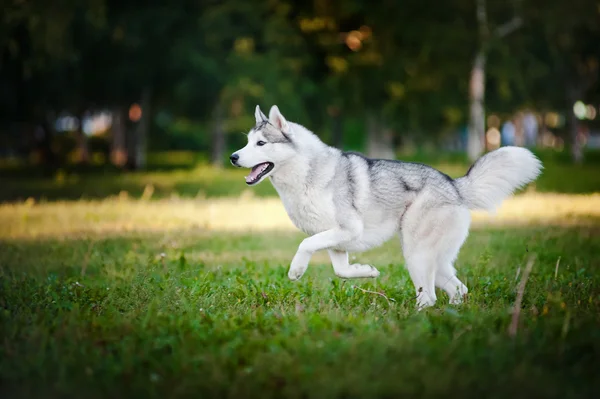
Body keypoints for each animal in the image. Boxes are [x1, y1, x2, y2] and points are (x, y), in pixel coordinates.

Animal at [231, 104, 544, 308]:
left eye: (261, 143)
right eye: (246, 142)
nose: (234, 157)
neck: (307, 175)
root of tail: (454, 185)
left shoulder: (347, 230)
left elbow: (305, 245)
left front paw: (296, 270)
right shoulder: (337, 242)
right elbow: (341, 271)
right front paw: (367, 271)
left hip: (416, 254)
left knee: (429, 297)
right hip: (434, 260)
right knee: (459, 289)